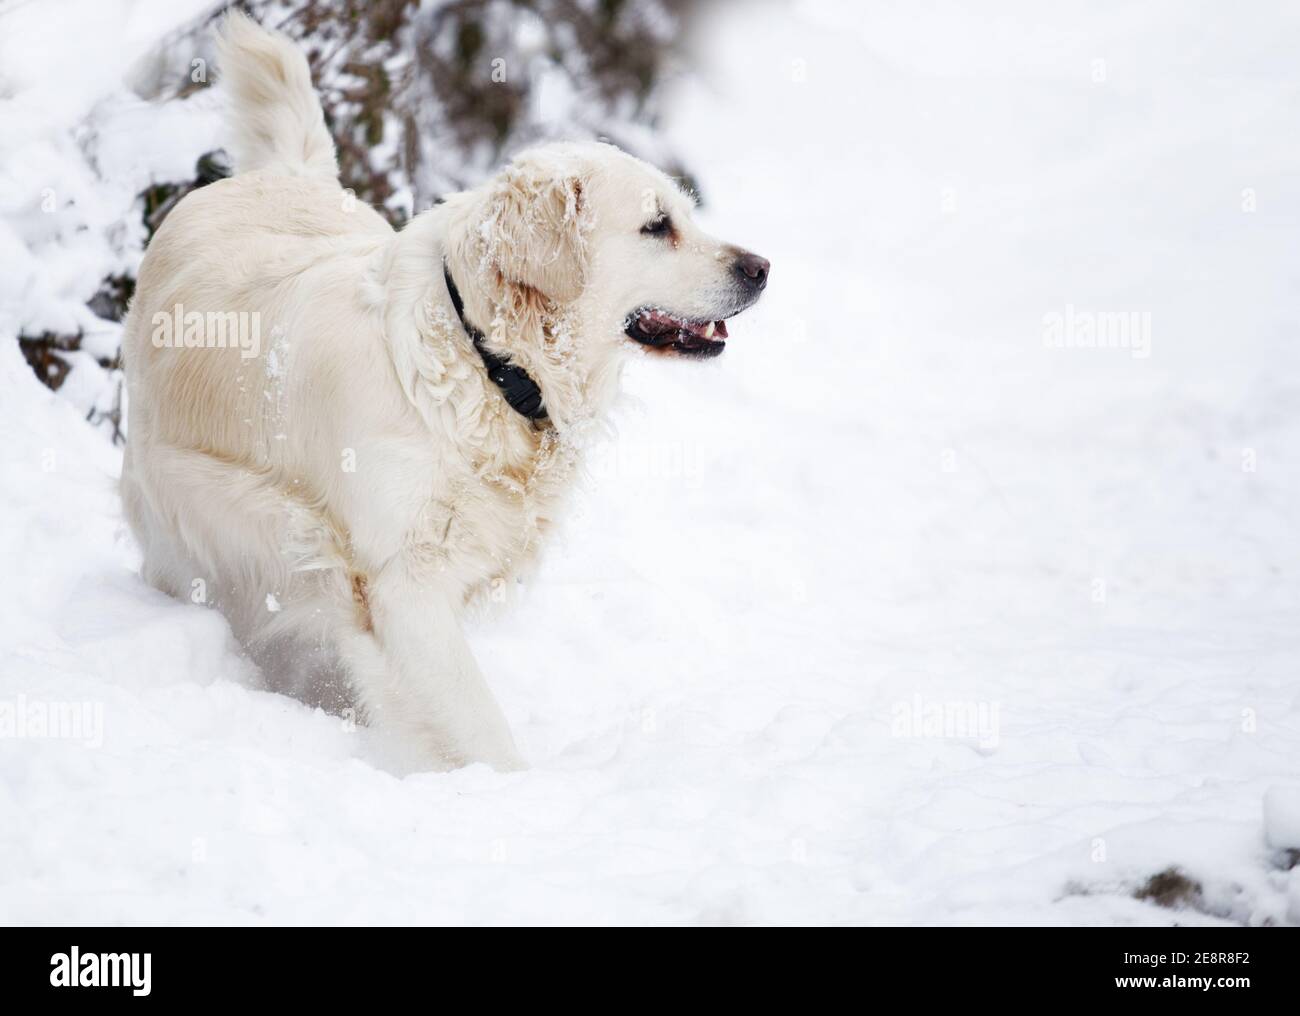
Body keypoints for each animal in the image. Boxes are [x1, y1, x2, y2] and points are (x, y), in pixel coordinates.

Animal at [116, 11, 764, 774]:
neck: (488, 361)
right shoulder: (403, 582)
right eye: (656, 226)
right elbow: (476, 721)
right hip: (200, 514)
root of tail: (274, 176)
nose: (761, 268)